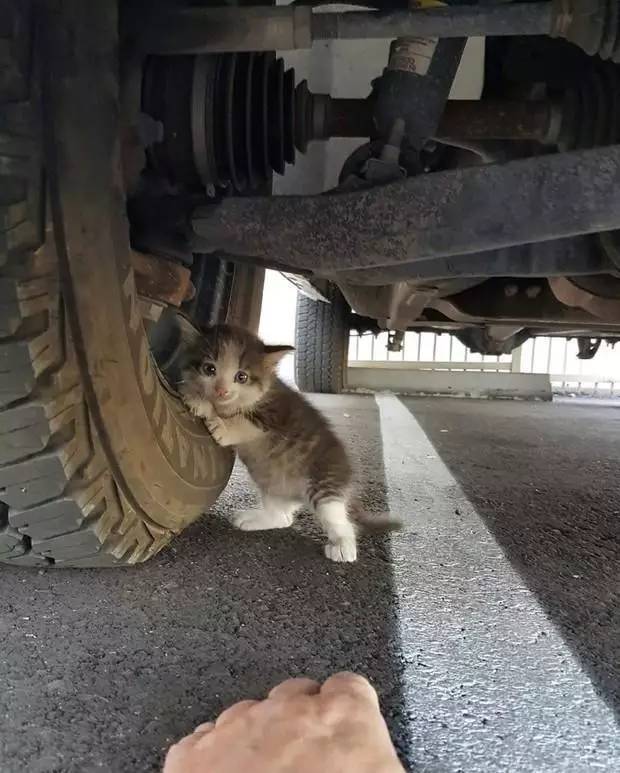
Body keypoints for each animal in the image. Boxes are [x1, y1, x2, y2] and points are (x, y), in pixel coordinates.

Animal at [178, 322, 398, 560]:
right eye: (209, 369)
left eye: (241, 376)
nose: (221, 390)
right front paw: (198, 397)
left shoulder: (275, 415)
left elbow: (242, 422)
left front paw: (217, 419)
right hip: (272, 485)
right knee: (283, 518)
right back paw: (255, 519)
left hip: (324, 483)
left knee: (338, 518)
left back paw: (343, 546)